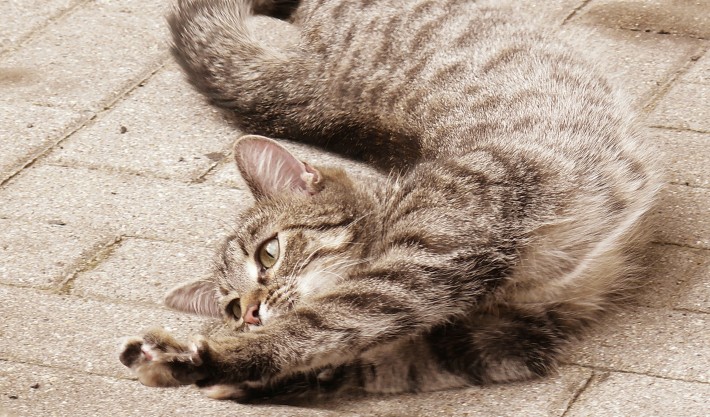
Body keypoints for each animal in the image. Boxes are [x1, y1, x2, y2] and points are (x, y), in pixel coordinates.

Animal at [118, 0, 660, 402]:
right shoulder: (509, 336)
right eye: (231, 306)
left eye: (268, 254)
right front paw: (259, 380)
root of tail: (313, 80)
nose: (251, 314)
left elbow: (315, 325)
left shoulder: (416, 267)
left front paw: (211, 358)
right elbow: (368, 362)